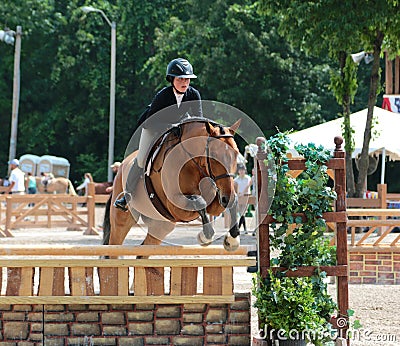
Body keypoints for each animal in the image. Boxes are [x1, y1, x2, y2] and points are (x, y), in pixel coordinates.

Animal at [103, 119, 241, 251]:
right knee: (114, 244)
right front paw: (205, 237)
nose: (226, 197)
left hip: (162, 224)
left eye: (236, 154)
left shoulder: (215, 201)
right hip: (122, 220)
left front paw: (232, 239)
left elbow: (232, 203)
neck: (191, 163)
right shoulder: (175, 206)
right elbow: (199, 202)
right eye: (213, 154)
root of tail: (121, 166)